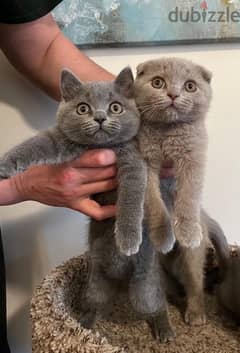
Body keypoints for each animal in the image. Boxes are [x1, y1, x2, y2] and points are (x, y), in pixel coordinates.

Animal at [0, 66, 146, 256]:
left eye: (115, 107)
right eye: (82, 109)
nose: (100, 117)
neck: (100, 146)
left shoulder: (133, 158)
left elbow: (131, 193)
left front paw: (128, 239)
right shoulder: (60, 138)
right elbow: (36, 143)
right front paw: (5, 164)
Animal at [135, 56, 212, 249]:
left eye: (190, 86)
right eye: (157, 82)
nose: (173, 94)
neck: (167, 131)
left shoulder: (193, 157)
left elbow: (189, 196)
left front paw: (188, 232)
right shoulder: (146, 159)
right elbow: (153, 201)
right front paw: (162, 235)